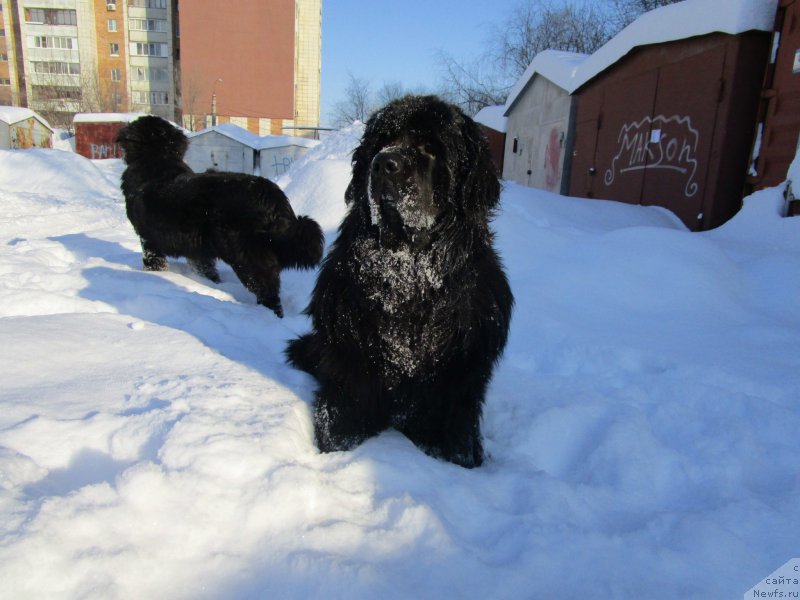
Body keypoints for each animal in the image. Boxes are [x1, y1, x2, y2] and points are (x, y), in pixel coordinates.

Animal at [115, 114, 322, 316]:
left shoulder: (148, 239)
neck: (158, 161)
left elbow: (154, 263)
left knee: (268, 292)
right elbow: (205, 269)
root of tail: (272, 196)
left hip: (246, 257)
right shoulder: (198, 250)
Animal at [288, 95, 512, 468]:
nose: (383, 163)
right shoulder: (351, 369)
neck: (409, 272)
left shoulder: (457, 385)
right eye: (382, 141)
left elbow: (458, 441)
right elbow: (339, 424)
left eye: (430, 147)